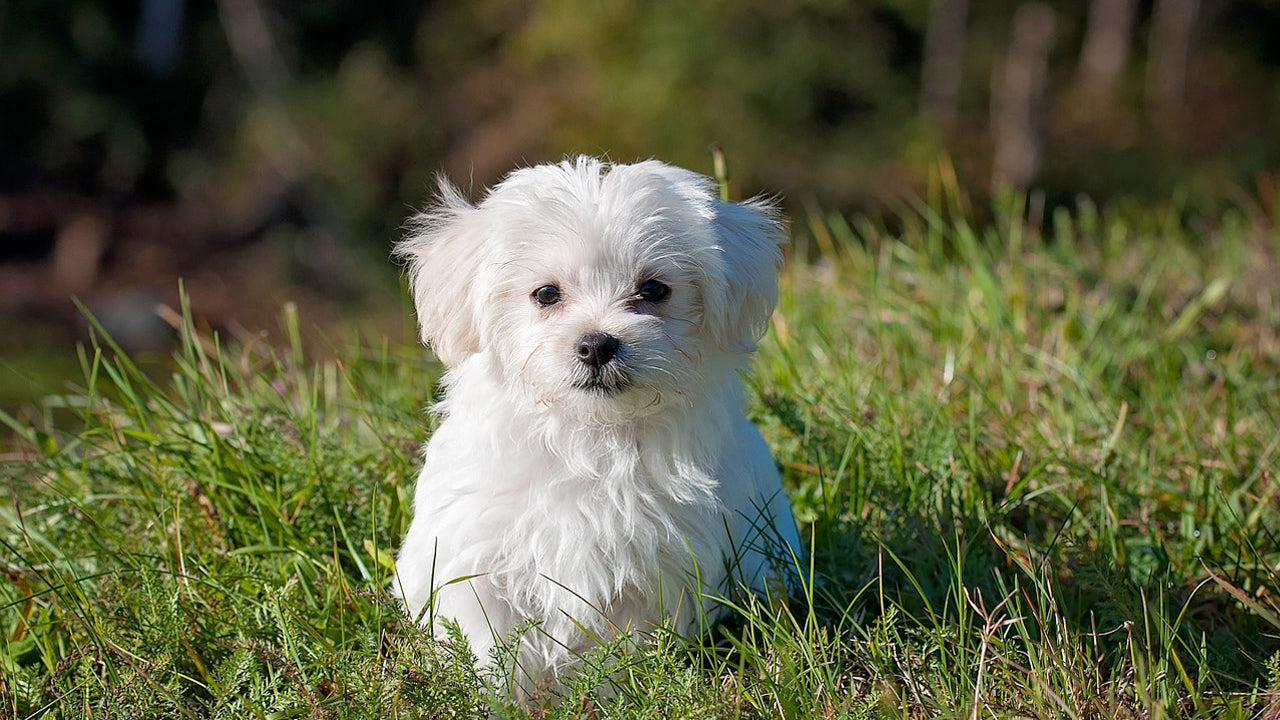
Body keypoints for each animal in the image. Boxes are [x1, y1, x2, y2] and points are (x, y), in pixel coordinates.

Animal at [394, 155, 803, 691]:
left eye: (653, 289)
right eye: (546, 294)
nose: (596, 344)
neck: (590, 436)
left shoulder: (652, 573)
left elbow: (619, 655)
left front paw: (610, 695)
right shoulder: (475, 560)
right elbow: (488, 651)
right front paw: (497, 698)